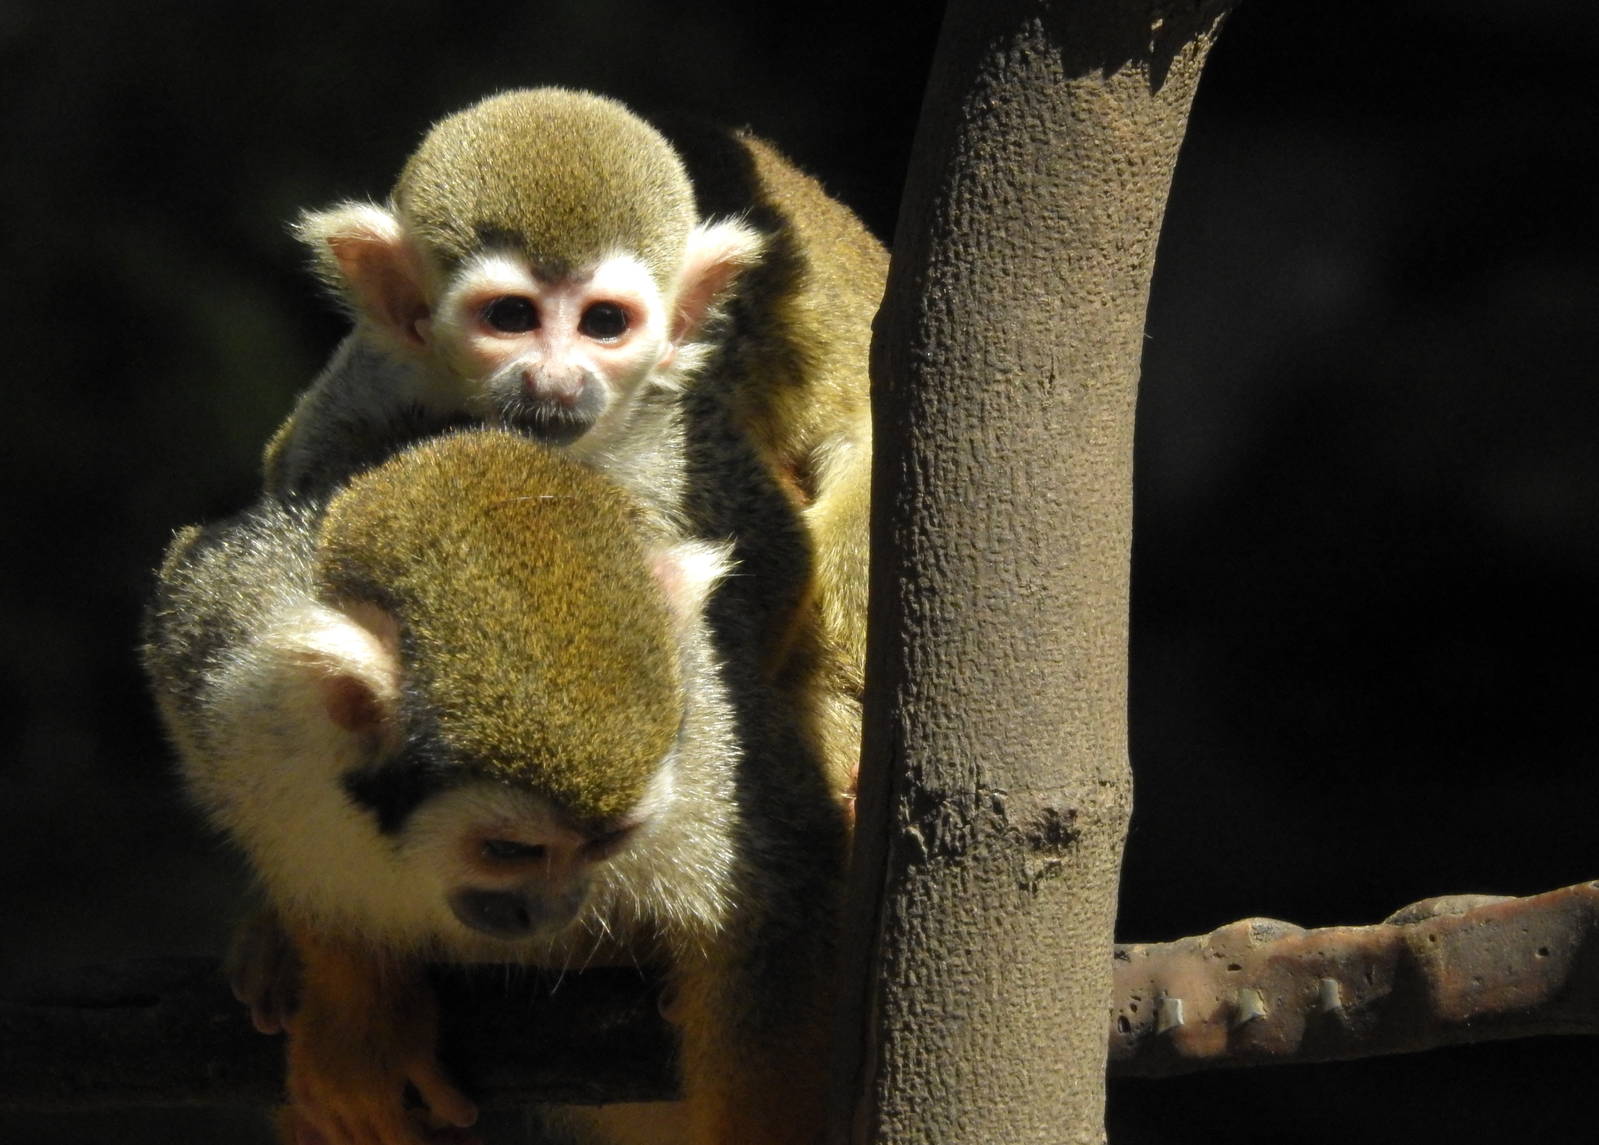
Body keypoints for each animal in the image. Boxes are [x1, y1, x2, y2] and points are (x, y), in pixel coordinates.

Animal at [143, 428, 846, 1145]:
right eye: (508, 852)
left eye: (607, 845)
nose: (553, 909)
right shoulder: (225, 667)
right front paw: (360, 1011)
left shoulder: (710, 731)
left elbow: (777, 902)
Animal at [266, 88, 887, 802]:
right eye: (511, 317)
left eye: (605, 323)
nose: (555, 382)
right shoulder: (379, 372)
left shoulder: (686, 431)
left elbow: (774, 561)